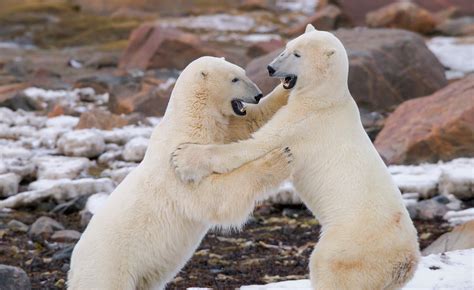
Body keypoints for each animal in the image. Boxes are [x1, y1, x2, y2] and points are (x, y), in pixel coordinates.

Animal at [68, 57, 294, 290]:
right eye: (234, 79)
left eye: (243, 72)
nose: (257, 95)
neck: (190, 121)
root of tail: (73, 271)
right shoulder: (176, 170)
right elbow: (214, 196)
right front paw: (279, 158)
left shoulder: (223, 130)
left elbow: (251, 122)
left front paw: (286, 87)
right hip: (109, 269)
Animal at [172, 26, 420, 288]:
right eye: (287, 47)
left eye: (298, 54)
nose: (270, 68)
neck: (326, 99)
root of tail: (405, 262)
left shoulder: (305, 124)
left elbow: (257, 144)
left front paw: (184, 157)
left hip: (353, 243)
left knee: (328, 265)